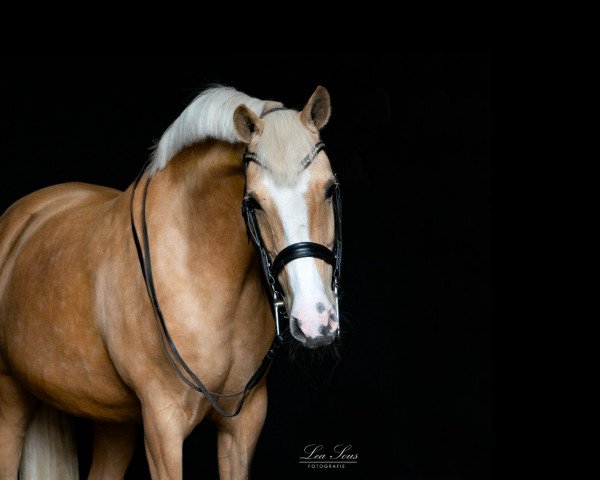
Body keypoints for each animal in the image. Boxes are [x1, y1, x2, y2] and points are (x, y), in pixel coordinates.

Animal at [0, 84, 340, 478]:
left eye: (330, 189)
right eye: (253, 202)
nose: (315, 320)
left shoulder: (244, 425)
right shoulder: (164, 425)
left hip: (112, 421)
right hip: (10, 400)